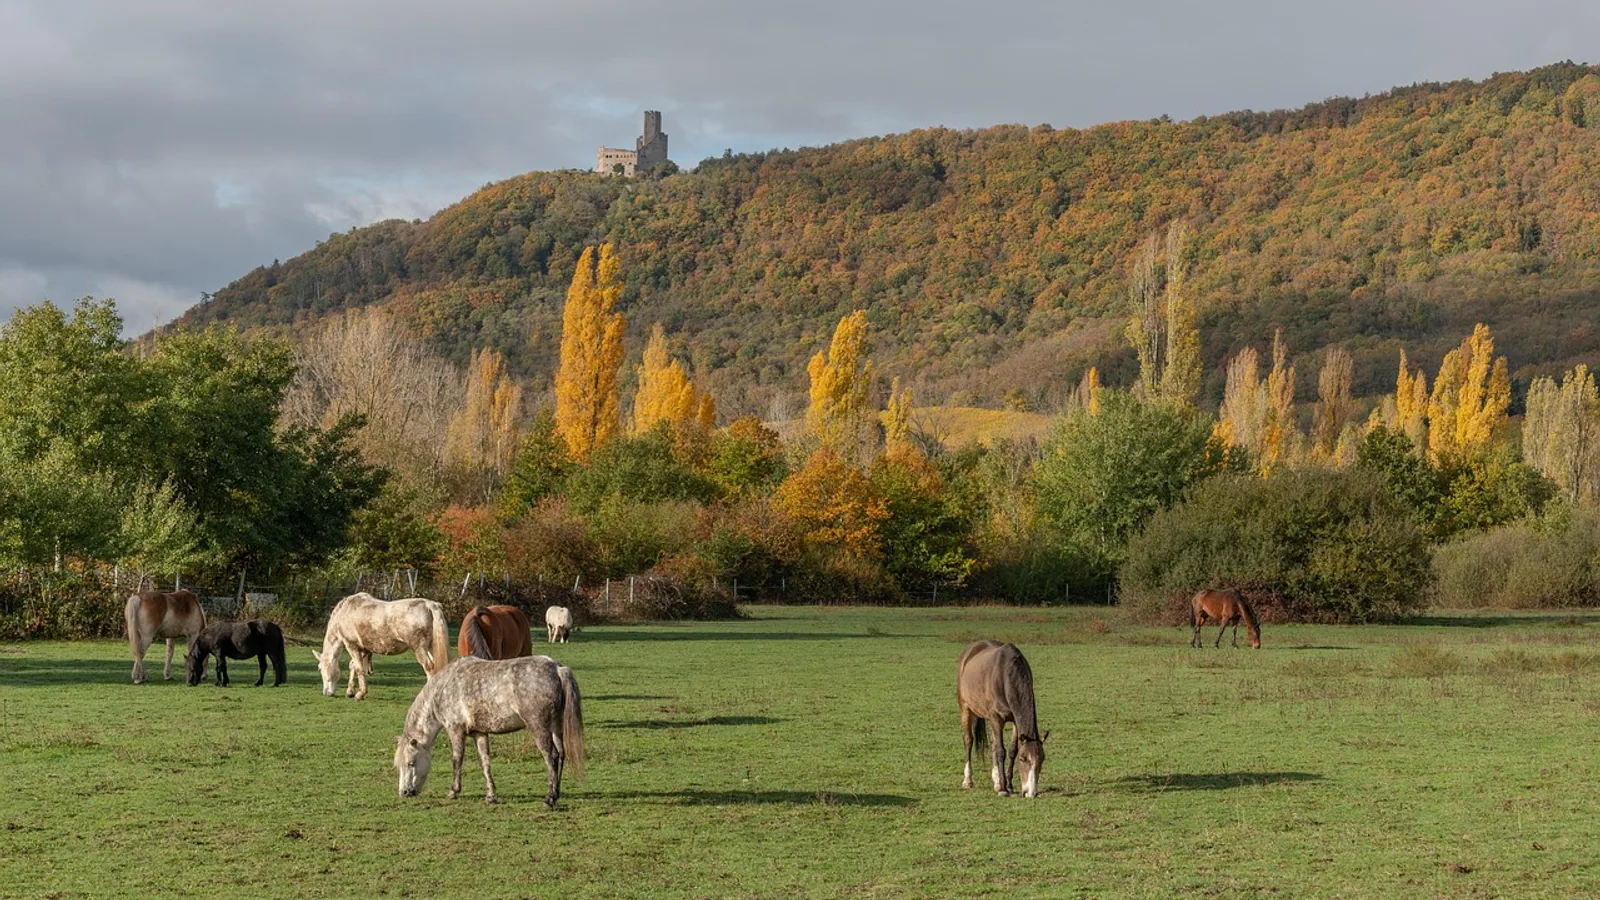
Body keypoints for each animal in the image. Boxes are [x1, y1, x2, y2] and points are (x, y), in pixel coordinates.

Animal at [313, 592, 449, 700]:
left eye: (319, 668)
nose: (326, 693)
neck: (345, 612)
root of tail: (429, 605)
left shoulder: (351, 645)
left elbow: (359, 668)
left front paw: (360, 694)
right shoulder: (364, 649)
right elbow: (353, 666)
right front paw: (350, 691)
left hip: (419, 648)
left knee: (429, 668)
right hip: (431, 647)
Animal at [394, 655, 585, 808]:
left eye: (411, 763)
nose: (404, 792)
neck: (443, 688)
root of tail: (557, 669)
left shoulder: (455, 730)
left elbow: (457, 761)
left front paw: (453, 792)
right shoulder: (479, 733)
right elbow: (485, 762)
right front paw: (491, 795)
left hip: (539, 728)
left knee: (551, 757)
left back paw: (549, 798)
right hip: (556, 727)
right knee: (560, 754)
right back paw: (556, 793)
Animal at [957, 640, 1049, 798]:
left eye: (1042, 759)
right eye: (1022, 759)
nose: (1030, 793)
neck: (1005, 675)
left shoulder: (1015, 720)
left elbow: (1011, 750)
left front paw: (1009, 785)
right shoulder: (996, 718)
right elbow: (1001, 751)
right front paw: (1003, 789)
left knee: (993, 743)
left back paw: (996, 781)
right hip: (966, 708)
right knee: (968, 740)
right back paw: (968, 780)